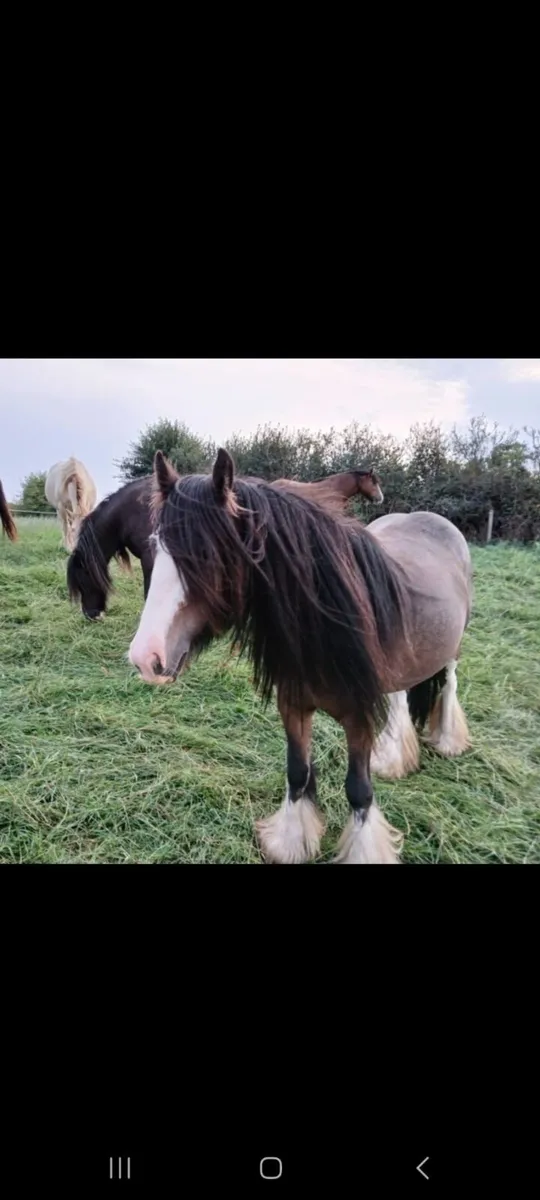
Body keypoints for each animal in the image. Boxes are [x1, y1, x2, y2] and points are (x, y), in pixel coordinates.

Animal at [128, 450, 473, 865]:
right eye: (156, 547)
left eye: (206, 555)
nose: (145, 657)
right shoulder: (293, 705)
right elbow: (297, 771)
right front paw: (290, 842)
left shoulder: (358, 717)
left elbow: (358, 790)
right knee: (399, 695)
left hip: (452, 648)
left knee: (449, 682)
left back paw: (448, 739)